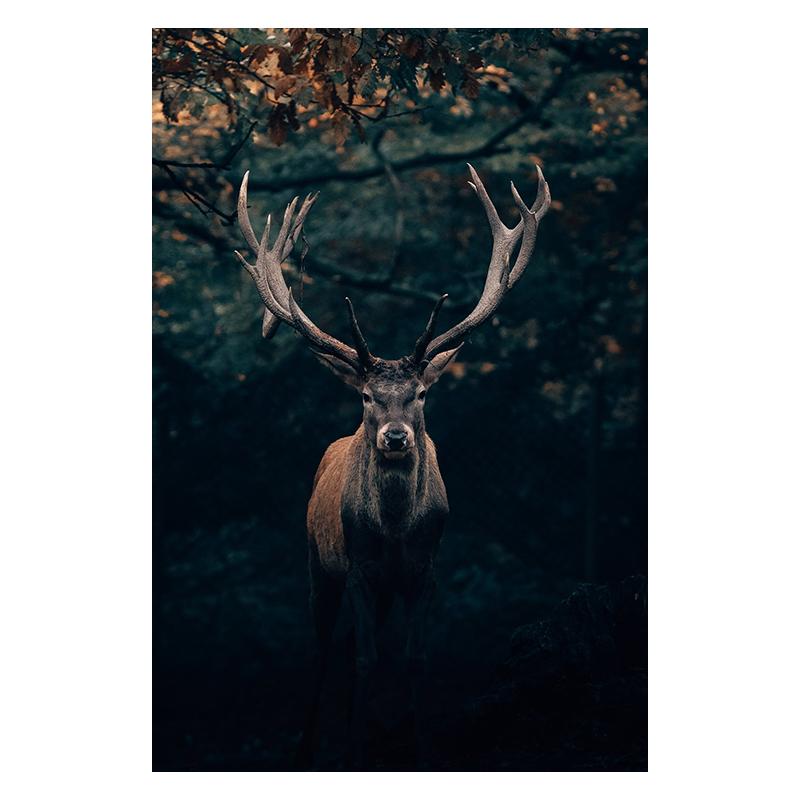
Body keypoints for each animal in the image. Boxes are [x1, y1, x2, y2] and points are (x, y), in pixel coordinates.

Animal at [232, 163, 550, 769]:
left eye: (421, 393)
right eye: (365, 397)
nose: (396, 436)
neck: (398, 531)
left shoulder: (426, 571)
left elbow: (413, 659)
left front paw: (416, 746)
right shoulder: (359, 568)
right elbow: (364, 660)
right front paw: (354, 748)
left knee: (351, 647)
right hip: (318, 564)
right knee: (325, 651)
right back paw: (309, 746)